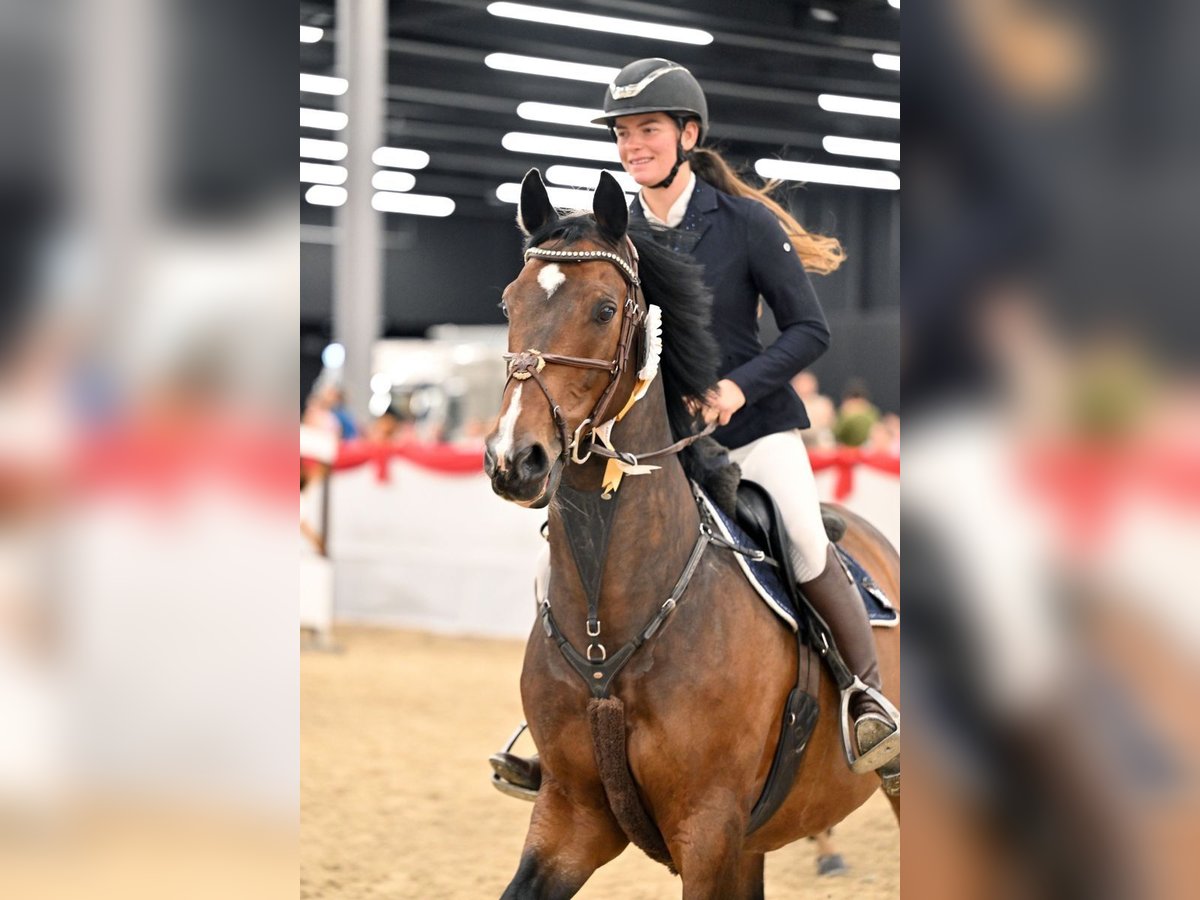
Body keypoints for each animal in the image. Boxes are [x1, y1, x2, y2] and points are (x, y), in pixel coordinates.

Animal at [483, 168, 900, 899]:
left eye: (604, 310)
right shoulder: (570, 815)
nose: (514, 459)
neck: (609, 624)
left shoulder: (708, 829)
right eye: (509, 303)